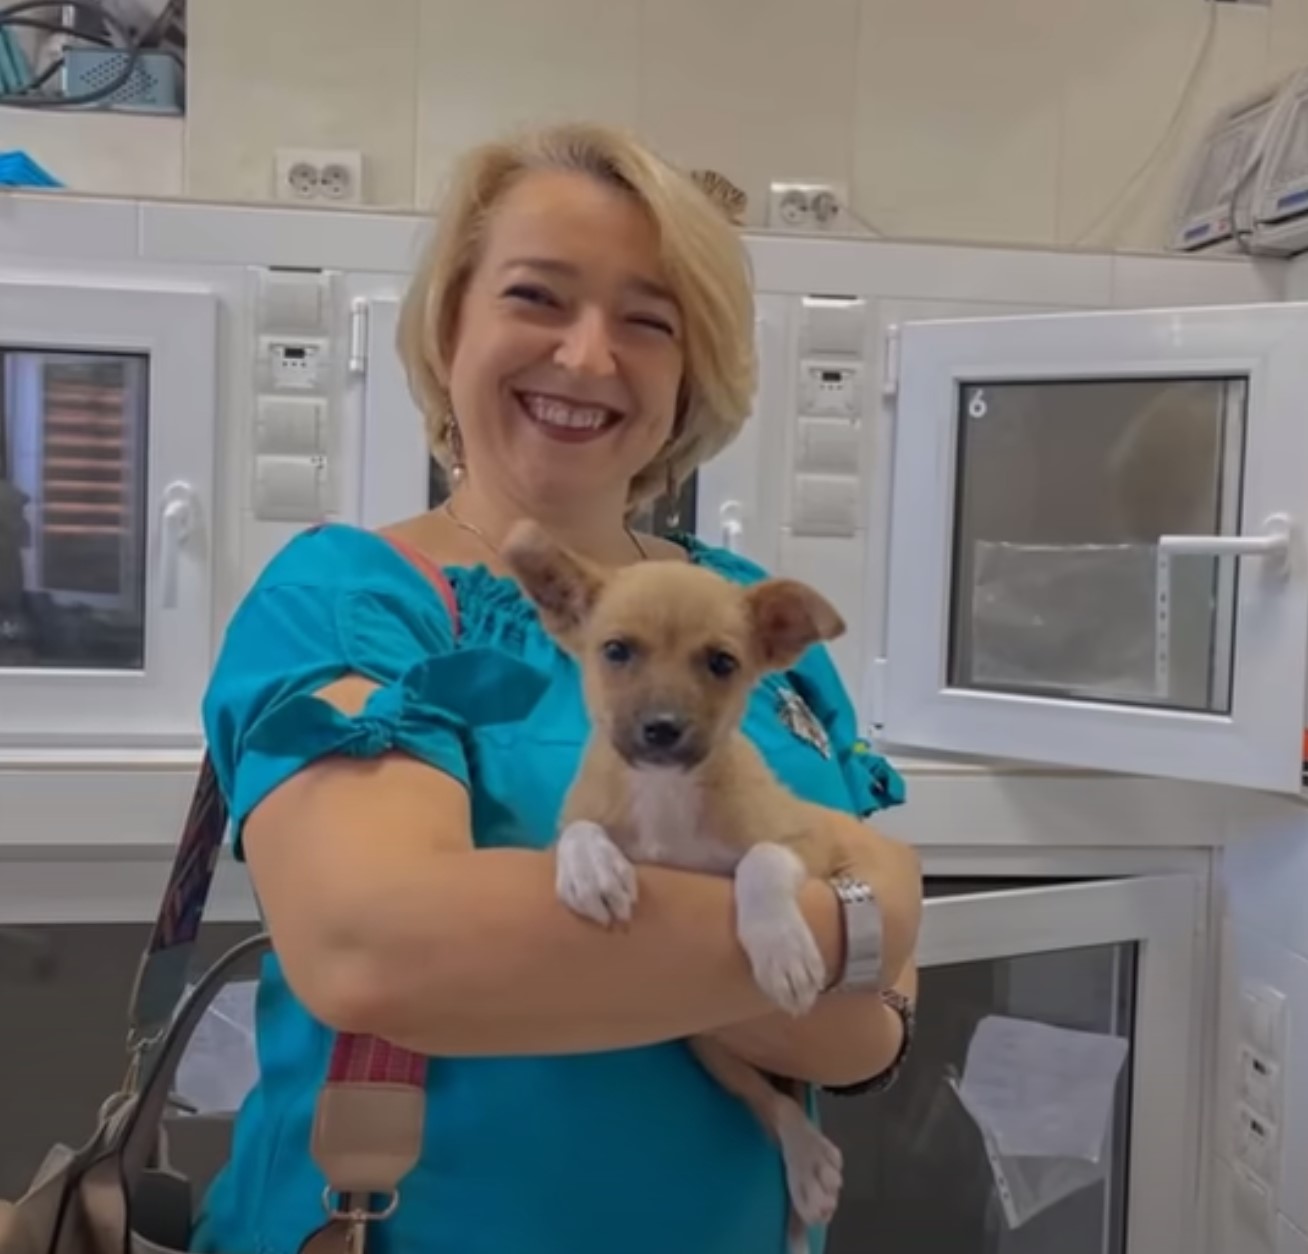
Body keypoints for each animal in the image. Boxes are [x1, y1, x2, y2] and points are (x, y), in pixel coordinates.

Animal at [504, 520, 863, 1254]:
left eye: (721, 663)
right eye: (616, 650)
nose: (663, 730)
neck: (666, 793)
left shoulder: (807, 841)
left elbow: (759, 861)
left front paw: (782, 948)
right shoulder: (571, 827)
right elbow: (578, 832)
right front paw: (593, 869)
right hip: (707, 1043)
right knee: (767, 1099)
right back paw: (805, 1156)